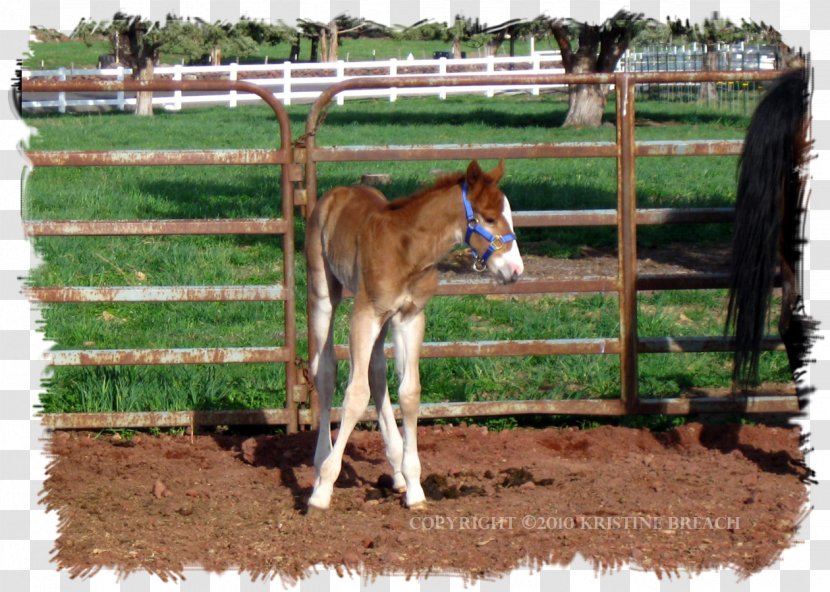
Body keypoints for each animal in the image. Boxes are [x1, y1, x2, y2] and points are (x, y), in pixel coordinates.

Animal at [306, 161, 528, 508]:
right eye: (490, 217)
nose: (515, 270)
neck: (406, 249)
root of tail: (336, 192)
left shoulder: (409, 317)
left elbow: (409, 393)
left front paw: (414, 487)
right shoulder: (365, 314)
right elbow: (355, 394)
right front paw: (323, 489)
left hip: (385, 321)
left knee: (376, 372)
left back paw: (396, 471)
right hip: (323, 293)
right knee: (325, 370)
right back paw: (320, 465)